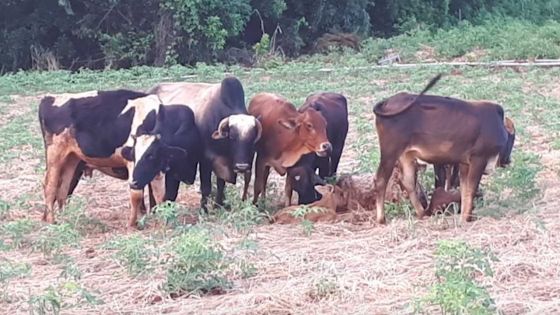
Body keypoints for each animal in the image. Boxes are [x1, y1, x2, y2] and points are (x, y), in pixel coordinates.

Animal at [145, 77, 262, 210]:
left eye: (252, 138)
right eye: (232, 136)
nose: (242, 167)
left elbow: (221, 184)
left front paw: (218, 205)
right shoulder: (205, 160)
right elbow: (206, 188)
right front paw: (204, 210)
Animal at [374, 75, 516, 225]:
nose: (508, 160)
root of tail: (387, 102)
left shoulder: (464, 163)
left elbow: (464, 189)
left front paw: (464, 216)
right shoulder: (479, 158)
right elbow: (471, 189)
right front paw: (467, 218)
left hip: (405, 155)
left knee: (408, 181)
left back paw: (422, 213)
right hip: (390, 152)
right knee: (381, 180)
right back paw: (381, 219)